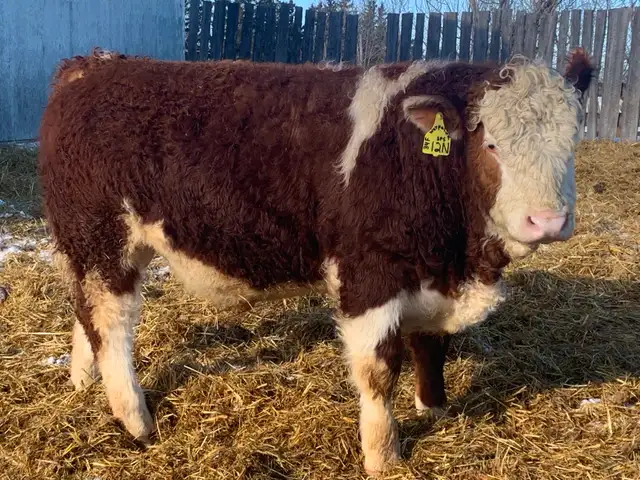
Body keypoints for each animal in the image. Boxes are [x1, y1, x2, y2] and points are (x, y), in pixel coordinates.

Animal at [38, 47, 593, 475]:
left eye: (572, 142)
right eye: (491, 144)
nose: (547, 220)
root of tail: (92, 65)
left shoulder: (431, 272)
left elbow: (430, 347)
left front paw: (433, 410)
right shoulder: (370, 275)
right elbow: (378, 370)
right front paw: (384, 457)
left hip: (90, 245)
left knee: (84, 312)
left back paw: (83, 381)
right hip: (101, 236)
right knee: (110, 324)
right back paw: (136, 420)